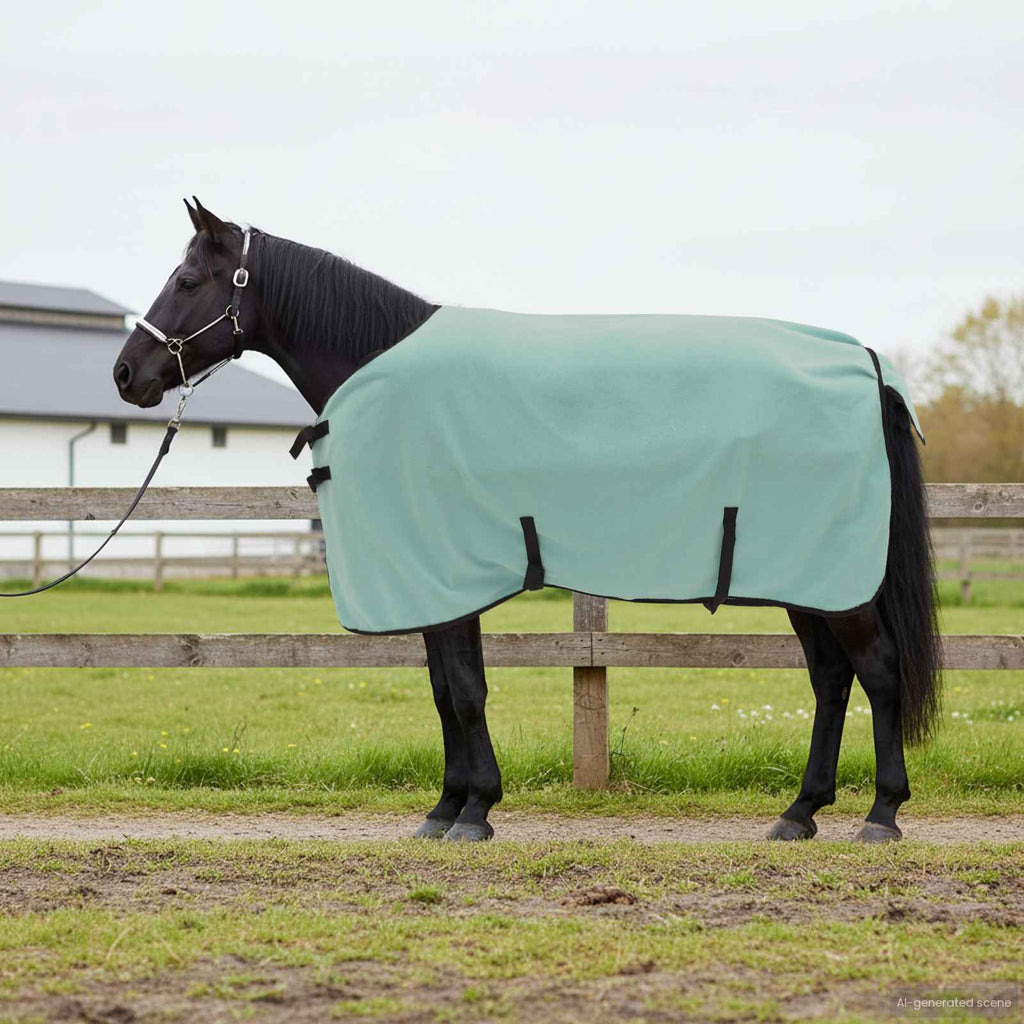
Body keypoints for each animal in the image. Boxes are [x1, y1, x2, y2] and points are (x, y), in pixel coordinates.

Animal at [113, 198, 941, 843]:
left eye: (187, 280)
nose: (126, 374)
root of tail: (865, 365)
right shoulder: (438, 584)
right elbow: (446, 689)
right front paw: (448, 807)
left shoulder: (446, 577)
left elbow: (464, 690)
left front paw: (474, 810)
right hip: (808, 577)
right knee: (831, 679)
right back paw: (800, 813)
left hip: (836, 580)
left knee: (878, 670)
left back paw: (881, 814)